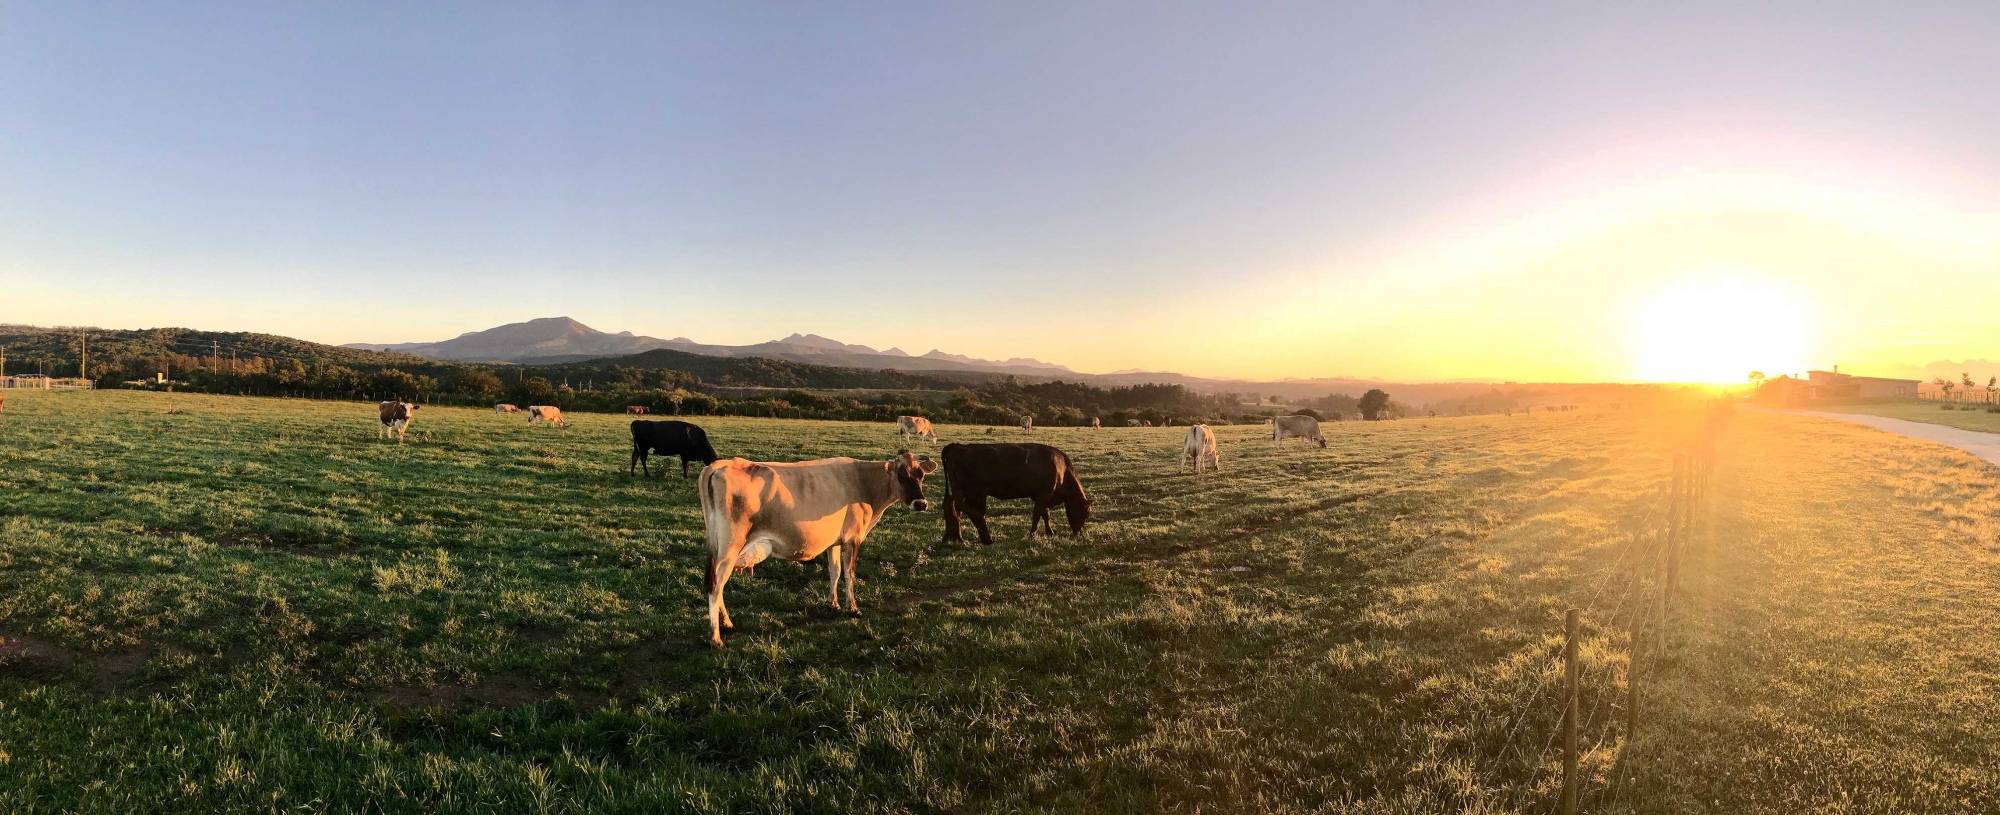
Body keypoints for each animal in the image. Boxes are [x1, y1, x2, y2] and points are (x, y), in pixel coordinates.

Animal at [700, 449, 940, 647]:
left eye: (921, 475)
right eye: (901, 475)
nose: (921, 503)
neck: (862, 483)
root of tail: (720, 465)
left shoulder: (834, 542)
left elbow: (835, 572)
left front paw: (833, 604)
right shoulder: (853, 539)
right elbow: (849, 574)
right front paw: (853, 608)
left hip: (718, 547)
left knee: (717, 584)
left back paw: (727, 624)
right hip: (730, 548)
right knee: (716, 585)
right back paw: (715, 636)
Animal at [940, 443, 1096, 551]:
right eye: (1086, 513)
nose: (1078, 533)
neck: (1062, 470)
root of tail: (956, 446)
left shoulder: (1039, 496)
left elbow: (1045, 514)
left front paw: (1049, 533)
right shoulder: (1044, 495)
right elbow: (1037, 514)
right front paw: (1032, 534)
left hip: (963, 492)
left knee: (952, 508)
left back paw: (953, 538)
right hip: (968, 491)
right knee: (962, 508)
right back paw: (980, 537)